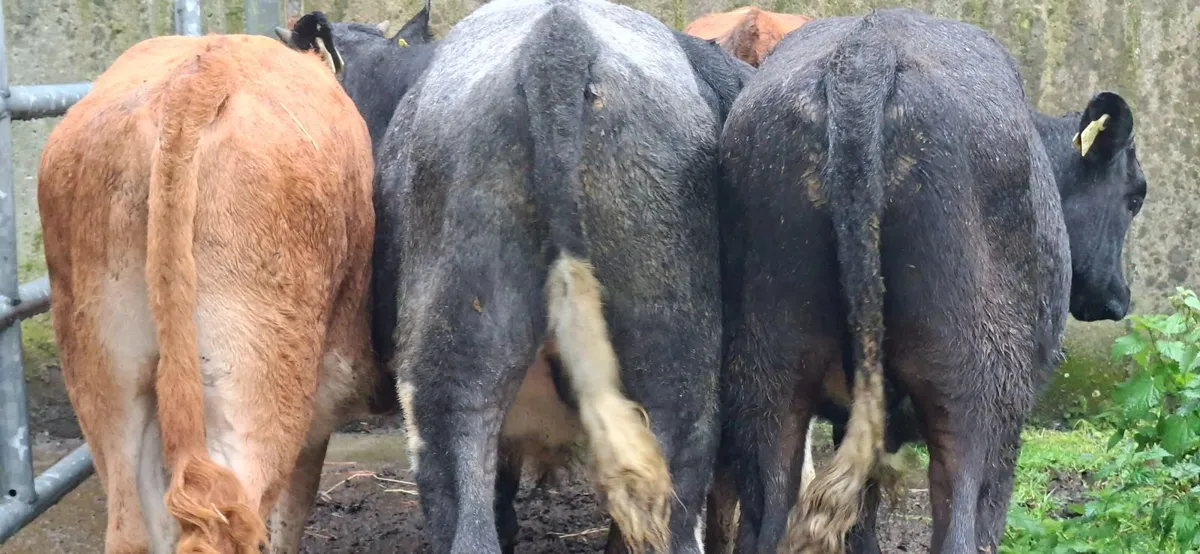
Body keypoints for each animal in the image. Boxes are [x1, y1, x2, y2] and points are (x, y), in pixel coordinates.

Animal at [717, 7, 1145, 554]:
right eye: (1135, 194)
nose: (1117, 298)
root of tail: (865, 52)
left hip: (770, 378)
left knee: (769, 517)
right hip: (975, 397)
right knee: (961, 528)